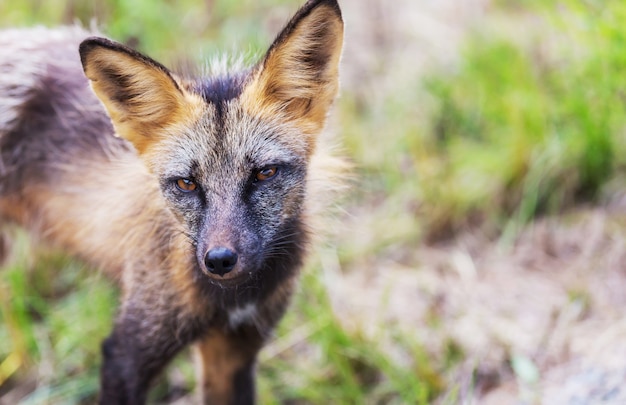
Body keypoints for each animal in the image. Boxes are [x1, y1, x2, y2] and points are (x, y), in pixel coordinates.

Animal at [0, 0, 342, 400]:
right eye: (186, 183)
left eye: (264, 173)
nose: (220, 260)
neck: (230, 300)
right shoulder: (127, 351)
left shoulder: (235, 350)